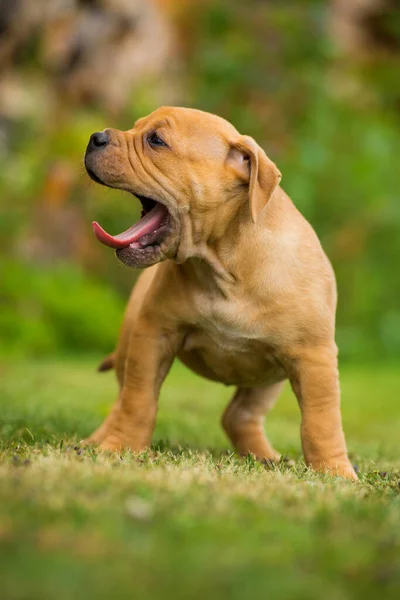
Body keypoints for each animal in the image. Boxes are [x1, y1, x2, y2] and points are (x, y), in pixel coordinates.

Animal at [83, 105, 356, 480]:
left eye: (156, 140)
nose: (95, 137)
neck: (224, 264)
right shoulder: (153, 334)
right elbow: (138, 401)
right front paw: (120, 447)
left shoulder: (314, 357)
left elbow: (321, 421)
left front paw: (335, 472)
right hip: (130, 342)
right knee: (122, 399)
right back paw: (95, 441)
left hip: (267, 379)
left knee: (239, 415)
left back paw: (263, 456)